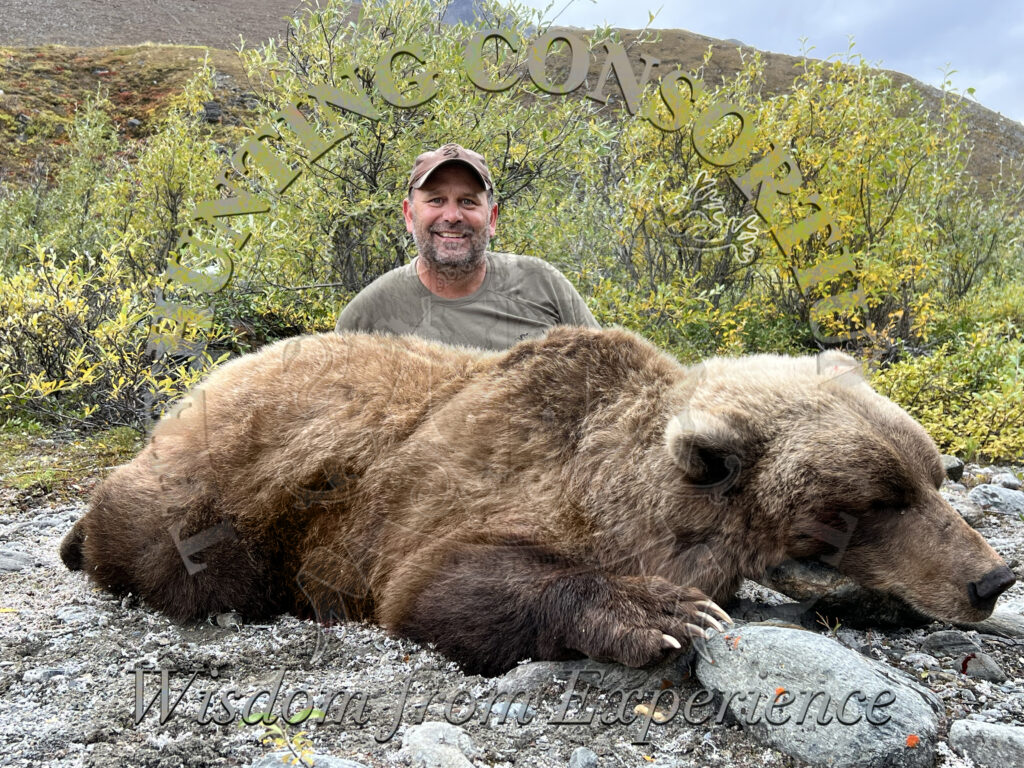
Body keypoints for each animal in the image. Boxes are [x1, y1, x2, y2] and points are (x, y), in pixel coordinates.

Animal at [60, 327, 1015, 676]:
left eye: (931, 476)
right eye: (875, 501)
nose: (993, 579)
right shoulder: (475, 488)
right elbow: (439, 582)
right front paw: (664, 612)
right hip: (214, 492)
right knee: (167, 548)